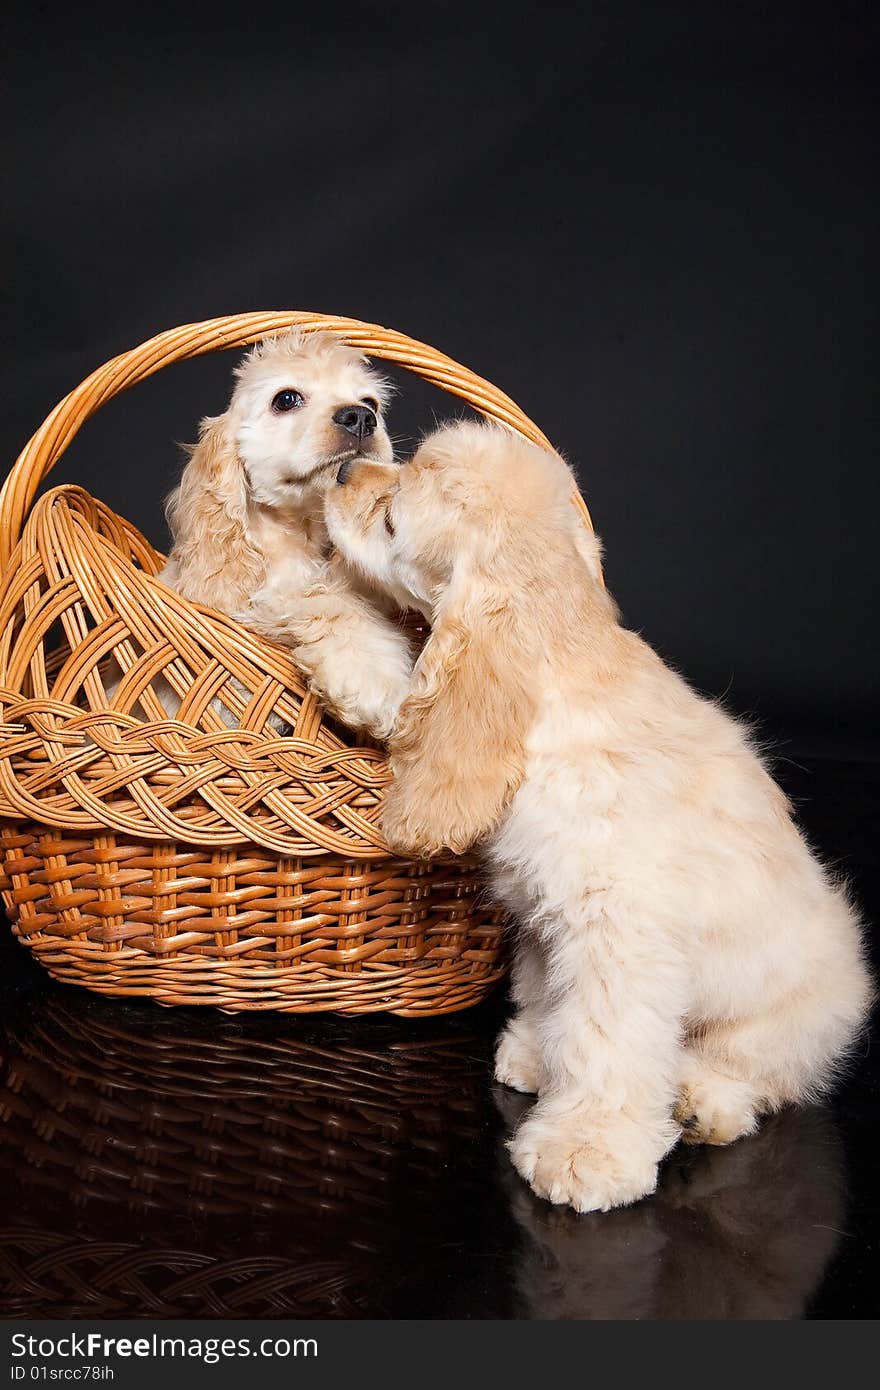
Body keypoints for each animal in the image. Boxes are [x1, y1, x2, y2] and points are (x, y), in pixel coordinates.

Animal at [157, 328, 411, 739]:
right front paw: (374, 682)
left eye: (370, 402)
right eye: (286, 399)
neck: (303, 532)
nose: (360, 417)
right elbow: (324, 599)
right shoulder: (262, 603)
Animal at [323, 422, 873, 1217]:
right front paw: (534, 1051)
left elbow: (603, 1044)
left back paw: (703, 1101)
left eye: (393, 513)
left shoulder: (618, 934)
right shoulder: (543, 917)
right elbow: (548, 998)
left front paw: (584, 1150)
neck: (557, 659)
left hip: (797, 1008)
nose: (340, 472)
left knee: (761, 1068)